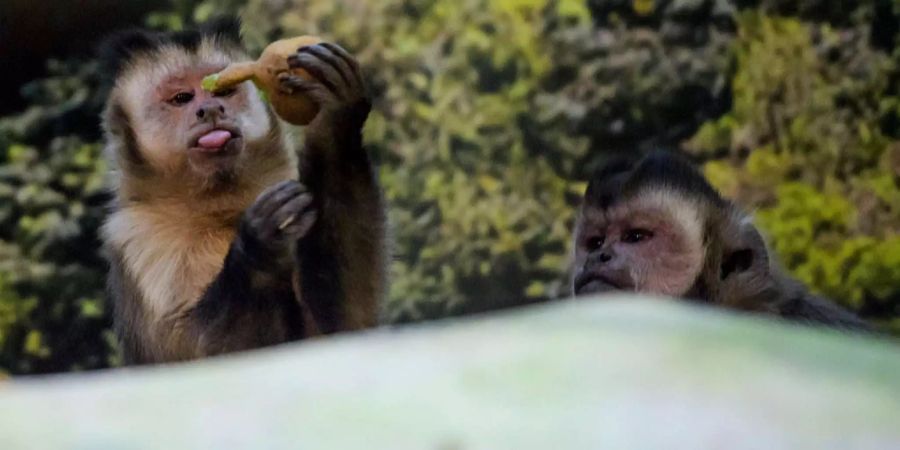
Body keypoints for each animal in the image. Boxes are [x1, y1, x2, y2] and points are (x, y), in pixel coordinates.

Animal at [98, 18, 386, 366]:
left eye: (222, 91)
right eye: (182, 98)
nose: (210, 108)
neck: (216, 207)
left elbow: (342, 329)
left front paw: (335, 117)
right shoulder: (138, 238)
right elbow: (201, 353)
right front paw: (258, 244)